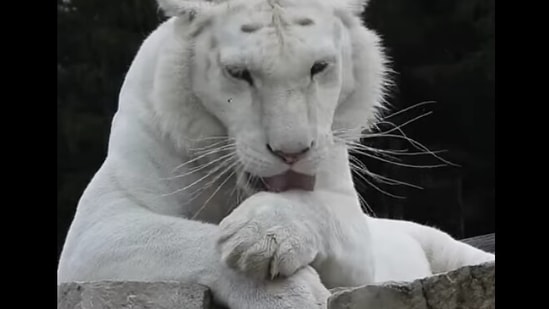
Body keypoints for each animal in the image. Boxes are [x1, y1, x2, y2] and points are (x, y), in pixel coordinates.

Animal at [57, 1, 494, 306]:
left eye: (319, 67)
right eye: (239, 73)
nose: (292, 152)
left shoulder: (353, 232)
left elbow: (316, 207)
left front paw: (262, 234)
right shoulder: (98, 225)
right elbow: (178, 238)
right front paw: (288, 292)